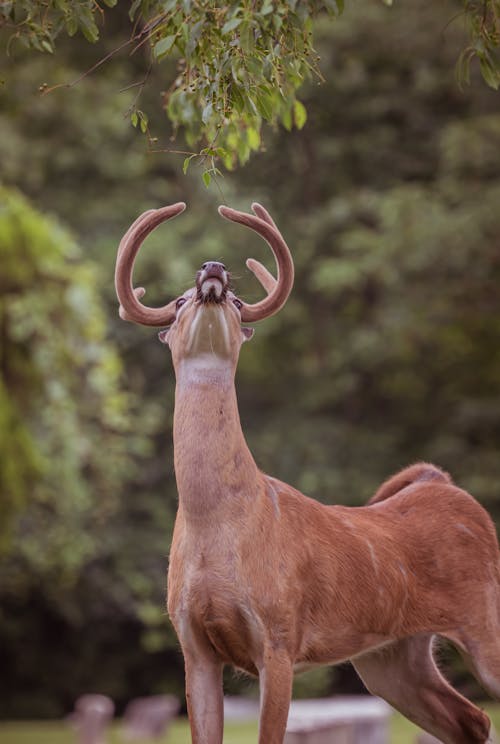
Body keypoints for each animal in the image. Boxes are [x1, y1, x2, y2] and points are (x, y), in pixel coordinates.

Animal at [115, 201, 500, 740]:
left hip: (486, 617)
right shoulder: (194, 645)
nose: (214, 271)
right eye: (178, 300)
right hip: (390, 658)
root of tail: (441, 483)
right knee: (471, 719)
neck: (220, 523)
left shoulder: (280, 635)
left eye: (238, 302)